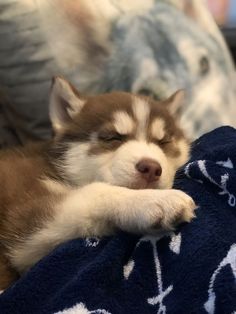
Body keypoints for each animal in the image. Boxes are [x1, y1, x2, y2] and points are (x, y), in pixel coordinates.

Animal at [0, 76, 196, 290]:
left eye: (163, 142)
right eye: (113, 137)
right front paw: (153, 200)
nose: (151, 168)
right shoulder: (24, 216)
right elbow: (96, 192)